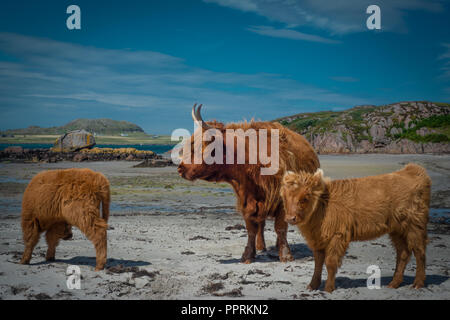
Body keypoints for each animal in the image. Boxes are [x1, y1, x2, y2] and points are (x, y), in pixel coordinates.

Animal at [177, 105, 320, 262]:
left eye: (197, 147)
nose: (180, 168)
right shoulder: (246, 200)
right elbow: (251, 229)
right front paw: (248, 255)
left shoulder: (282, 201)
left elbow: (280, 227)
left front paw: (285, 255)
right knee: (261, 224)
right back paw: (261, 246)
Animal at [282, 165, 432, 292]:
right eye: (285, 197)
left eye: (305, 198)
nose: (290, 218)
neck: (323, 206)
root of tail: (412, 170)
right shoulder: (318, 239)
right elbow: (318, 263)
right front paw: (312, 285)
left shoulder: (338, 235)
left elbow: (330, 262)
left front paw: (328, 288)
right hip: (397, 230)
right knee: (403, 253)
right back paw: (394, 283)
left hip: (415, 226)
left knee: (419, 252)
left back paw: (418, 283)